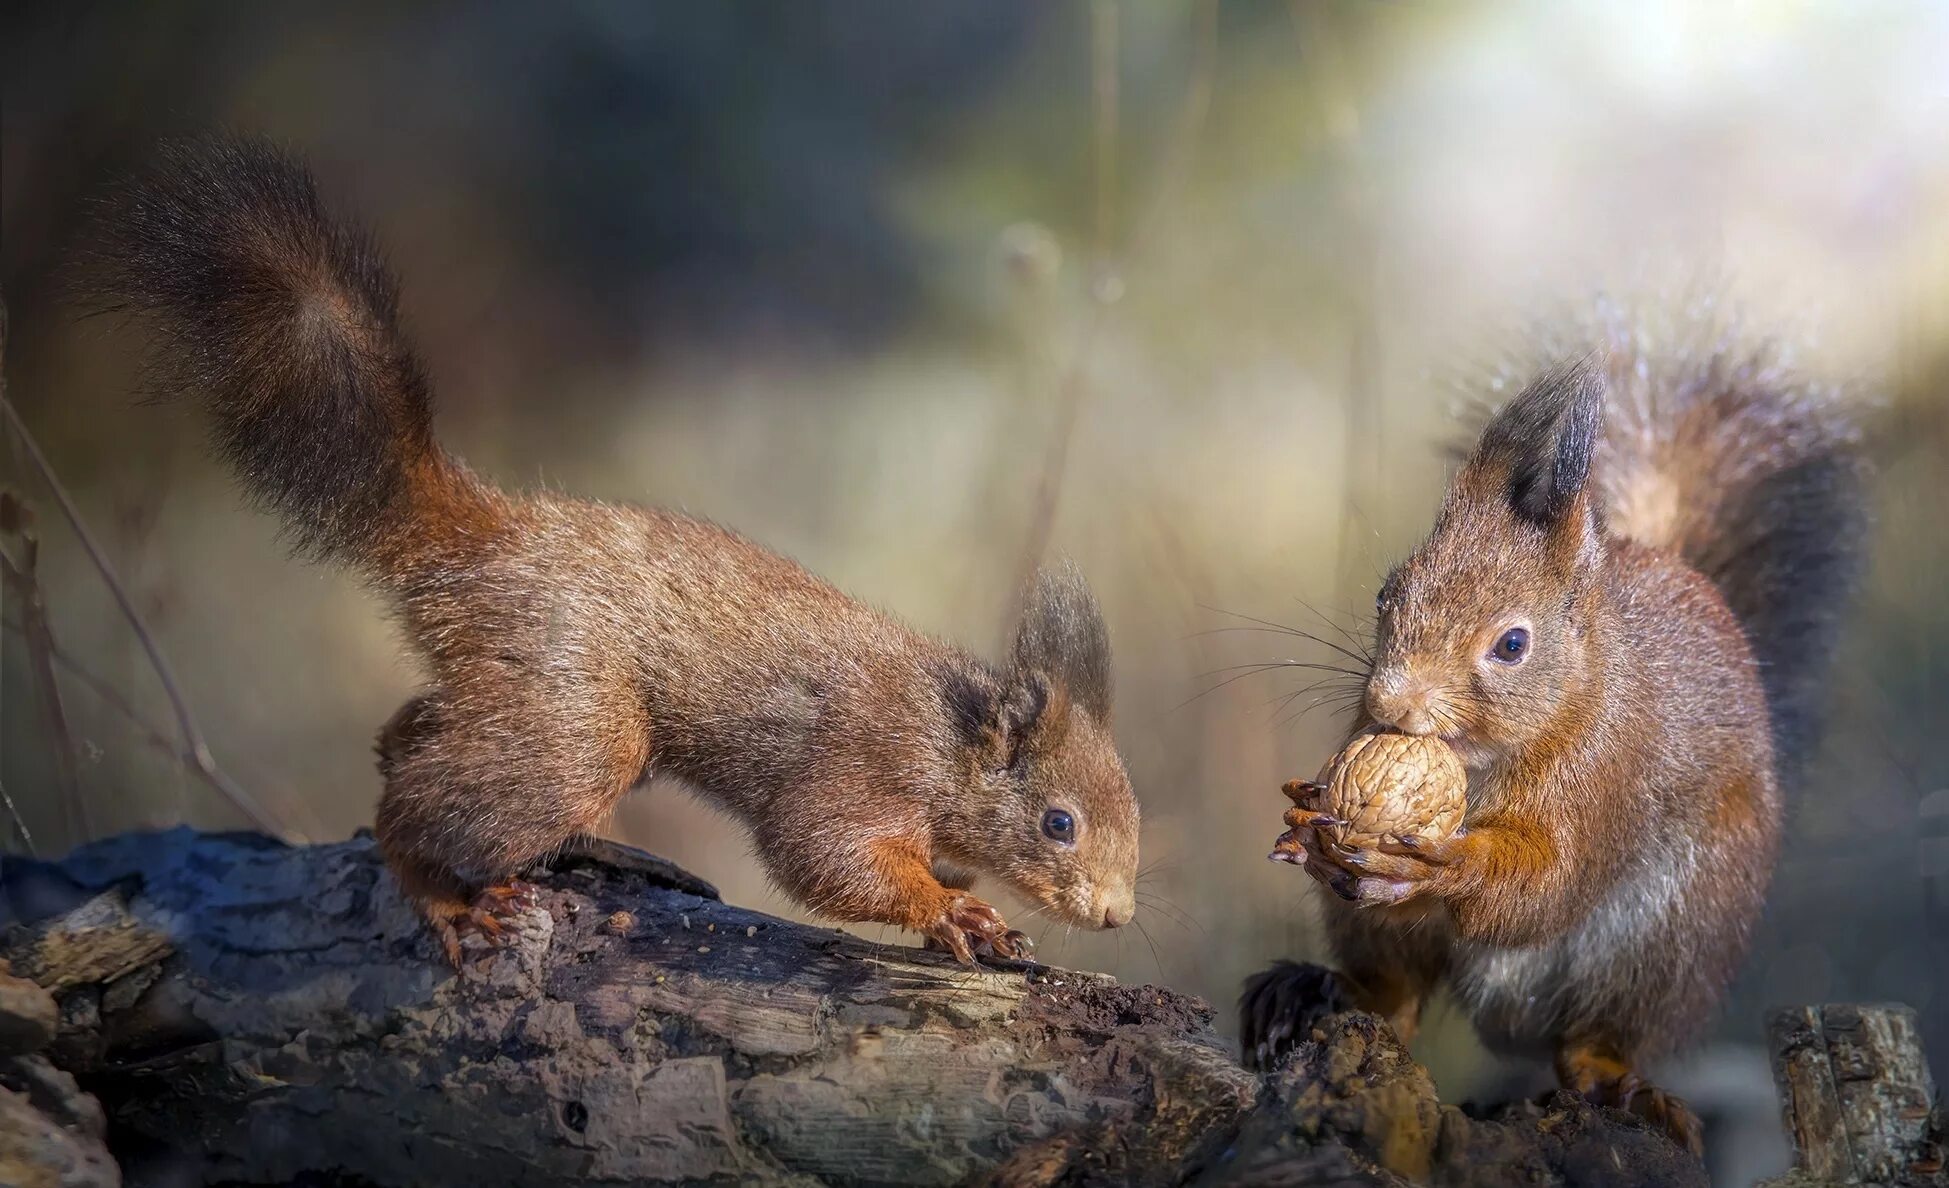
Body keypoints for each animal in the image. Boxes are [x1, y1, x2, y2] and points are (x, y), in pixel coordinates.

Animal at [79, 134, 1138, 962]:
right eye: (1059, 823)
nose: (1118, 915)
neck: (949, 740)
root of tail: (487, 537)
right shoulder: (860, 767)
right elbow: (823, 854)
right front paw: (954, 910)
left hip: (515, 690)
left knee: (410, 738)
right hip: (575, 717)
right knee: (413, 813)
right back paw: (447, 895)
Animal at [1239, 319, 1863, 1152]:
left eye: (1511, 645)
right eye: (1384, 592)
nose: (1388, 703)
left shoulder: (1608, 772)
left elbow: (1548, 883)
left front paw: (1447, 864)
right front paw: (1309, 823)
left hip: (1666, 941)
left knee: (1589, 1041)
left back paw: (1621, 1087)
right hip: (1378, 935)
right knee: (1392, 995)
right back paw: (1311, 991)